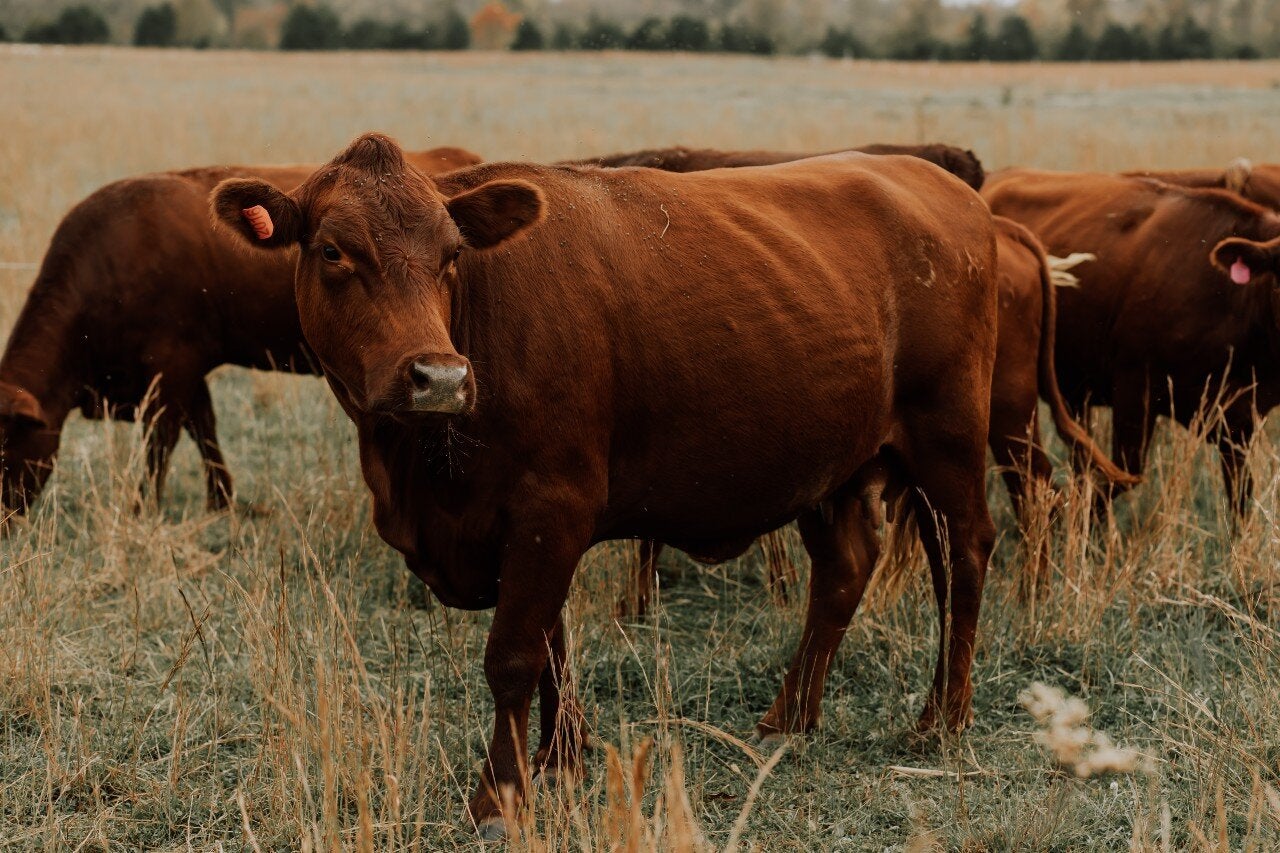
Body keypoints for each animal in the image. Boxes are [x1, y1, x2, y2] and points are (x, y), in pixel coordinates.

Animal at [0, 143, 481, 514]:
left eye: (3, 449)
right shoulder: (188, 370)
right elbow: (205, 430)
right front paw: (221, 502)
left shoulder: (169, 367)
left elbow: (160, 444)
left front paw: (142, 510)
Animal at [215, 134, 1003, 835]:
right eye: (333, 250)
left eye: (452, 254)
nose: (439, 377)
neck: (416, 468)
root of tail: (940, 183)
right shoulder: (528, 526)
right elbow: (552, 644)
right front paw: (560, 756)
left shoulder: (552, 505)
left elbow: (514, 655)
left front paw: (500, 797)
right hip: (832, 462)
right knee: (843, 569)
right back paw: (790, 717)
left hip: (948, 441)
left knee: (962, 559)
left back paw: (943, 715)